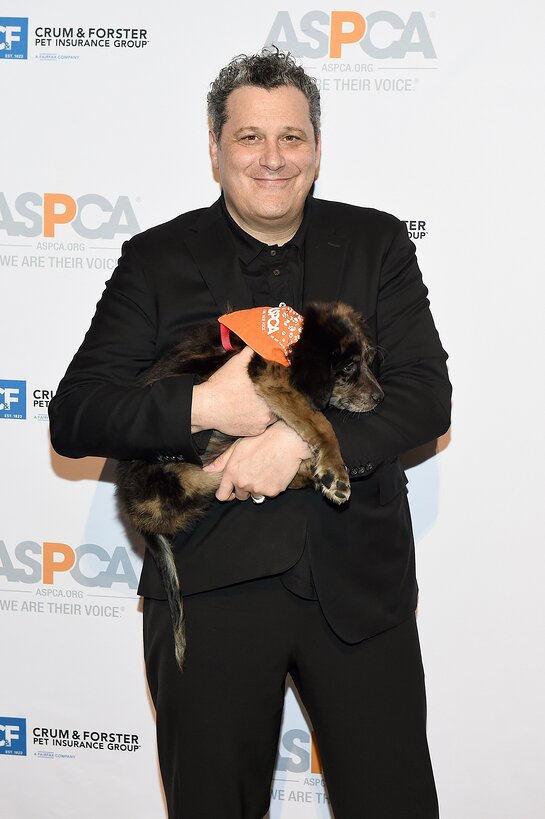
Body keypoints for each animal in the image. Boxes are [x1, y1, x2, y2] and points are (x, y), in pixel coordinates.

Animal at [116, 304, 382, 668]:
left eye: (368, 359)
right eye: (348, 367)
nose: (380, 397)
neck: (287, 334)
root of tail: (132, 512)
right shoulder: (271, 376)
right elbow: (322, 421)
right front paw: (333, 470)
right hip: (182, 475)